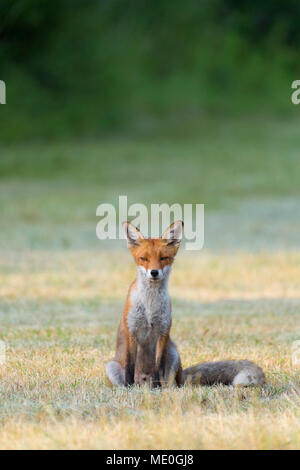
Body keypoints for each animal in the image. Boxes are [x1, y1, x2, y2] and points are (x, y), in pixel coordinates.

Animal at [106, 222, 264, 388]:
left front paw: (157, 388)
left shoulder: (163, 331)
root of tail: (144, 381)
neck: (150, 306)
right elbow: (129, 366)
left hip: (173, 354)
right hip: (111, 366)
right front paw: (128, 388)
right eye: (143, 258)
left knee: (172, 383)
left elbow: (159, 366)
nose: (154, 272)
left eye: (163, 258)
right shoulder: (132, 330)